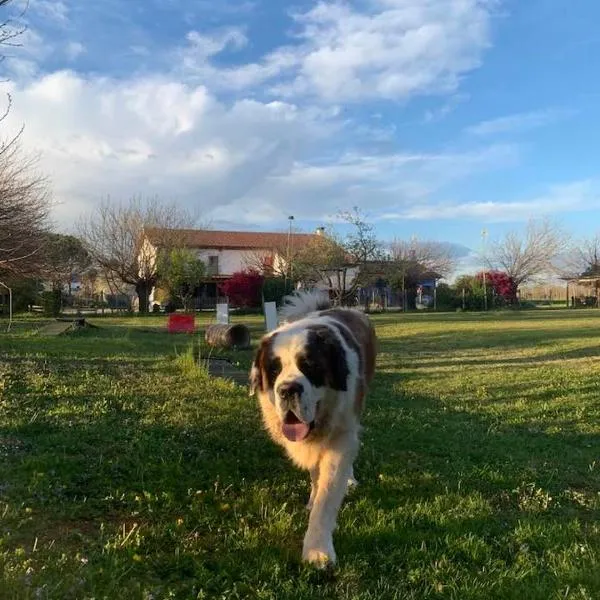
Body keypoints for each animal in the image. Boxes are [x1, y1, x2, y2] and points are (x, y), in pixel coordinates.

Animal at [248, 290, 376, 568]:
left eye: (310, 366)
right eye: (274, 369)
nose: (288, 390)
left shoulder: (341, 437)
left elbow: (327, 497)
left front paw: (318, 550)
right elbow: (318, 478)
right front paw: (313, 498)